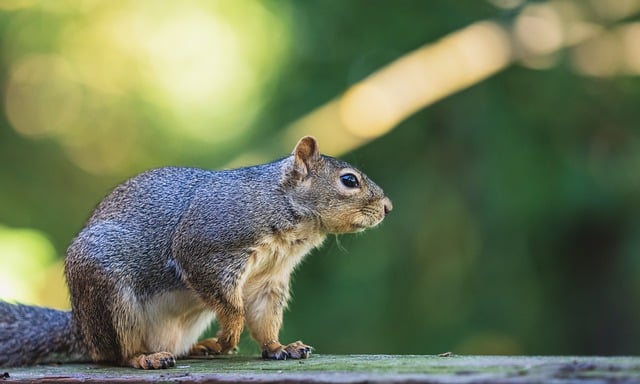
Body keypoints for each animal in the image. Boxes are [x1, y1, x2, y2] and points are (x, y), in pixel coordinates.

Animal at [0, 137, 390, 368]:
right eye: (349, 180)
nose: (388, 207)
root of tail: (80, 328)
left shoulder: (269, 279)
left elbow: (264, 316)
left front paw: (279, 347)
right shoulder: (206, 247)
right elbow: (230, 305)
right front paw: (230, 335)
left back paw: (198, 348)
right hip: (109, 292)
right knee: (117, 353)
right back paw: (145, 358)